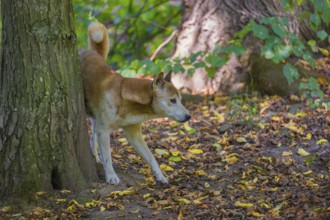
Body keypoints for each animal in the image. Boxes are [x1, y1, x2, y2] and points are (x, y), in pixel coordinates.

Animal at [79, 22, 191, 184]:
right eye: (172, 100)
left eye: (180, 100)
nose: (189, 116)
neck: (128, 102)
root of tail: (90, 52)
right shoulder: (104, 130)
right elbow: (108, 158)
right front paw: (111, 176)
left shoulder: (134, 134)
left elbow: (151, 157)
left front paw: (161, 176)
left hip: (95, 118)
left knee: (93, 138)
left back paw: (95, 157)